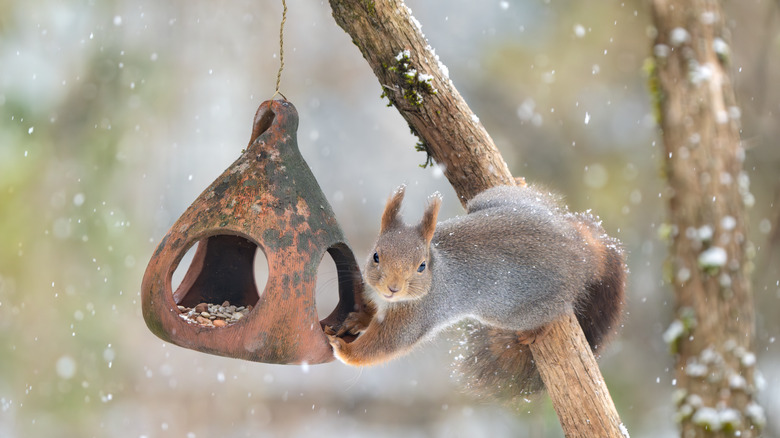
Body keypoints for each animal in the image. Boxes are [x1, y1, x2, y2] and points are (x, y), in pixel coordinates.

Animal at [326, 185, 624, 400]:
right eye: (376, 255)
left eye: (421, 265)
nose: (392, 288)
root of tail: (578, 250)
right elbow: (370, 313)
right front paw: (356, 320)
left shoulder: (417, 316)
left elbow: (384, 344)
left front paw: (344, 350)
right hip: (494, 199)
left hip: (514, 310)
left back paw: (537, 330)